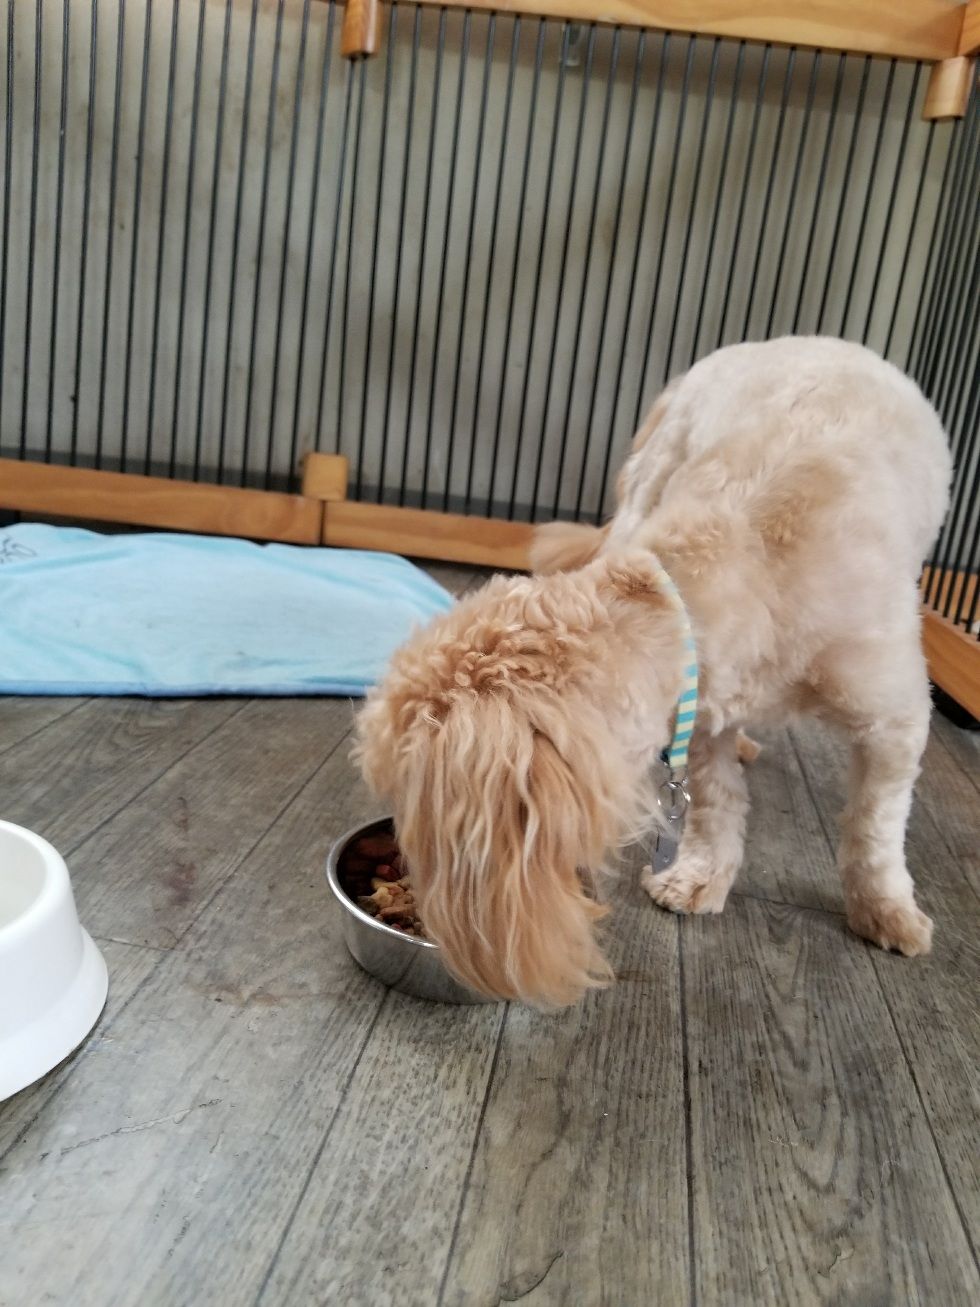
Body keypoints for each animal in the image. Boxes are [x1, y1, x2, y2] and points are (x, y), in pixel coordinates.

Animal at [355, 338, 952, 1007]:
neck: (745, 562)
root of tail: (805, 340)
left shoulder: (894, 716)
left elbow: (875, 827)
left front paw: (885, 909)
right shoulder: (702, 711)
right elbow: (716, 802)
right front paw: (699, 874)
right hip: (652, 474)